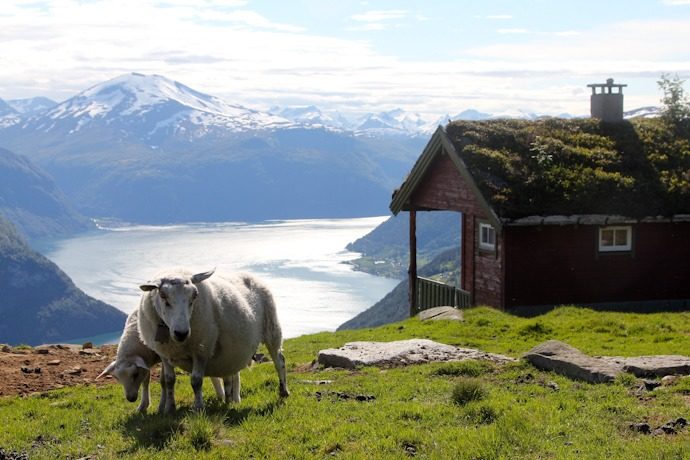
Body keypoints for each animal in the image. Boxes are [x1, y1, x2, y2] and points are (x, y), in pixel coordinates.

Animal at [137, 268, 289, 414]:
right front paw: (169, 409)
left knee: (279, 360)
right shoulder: (165, 354)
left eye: (195, 296)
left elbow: (196, 381)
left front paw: (198, 408)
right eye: (163, 296)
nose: (181, 333)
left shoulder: (201, 349)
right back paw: (228, 400)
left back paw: (283, 391)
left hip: (272, 328)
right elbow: (169, 380)